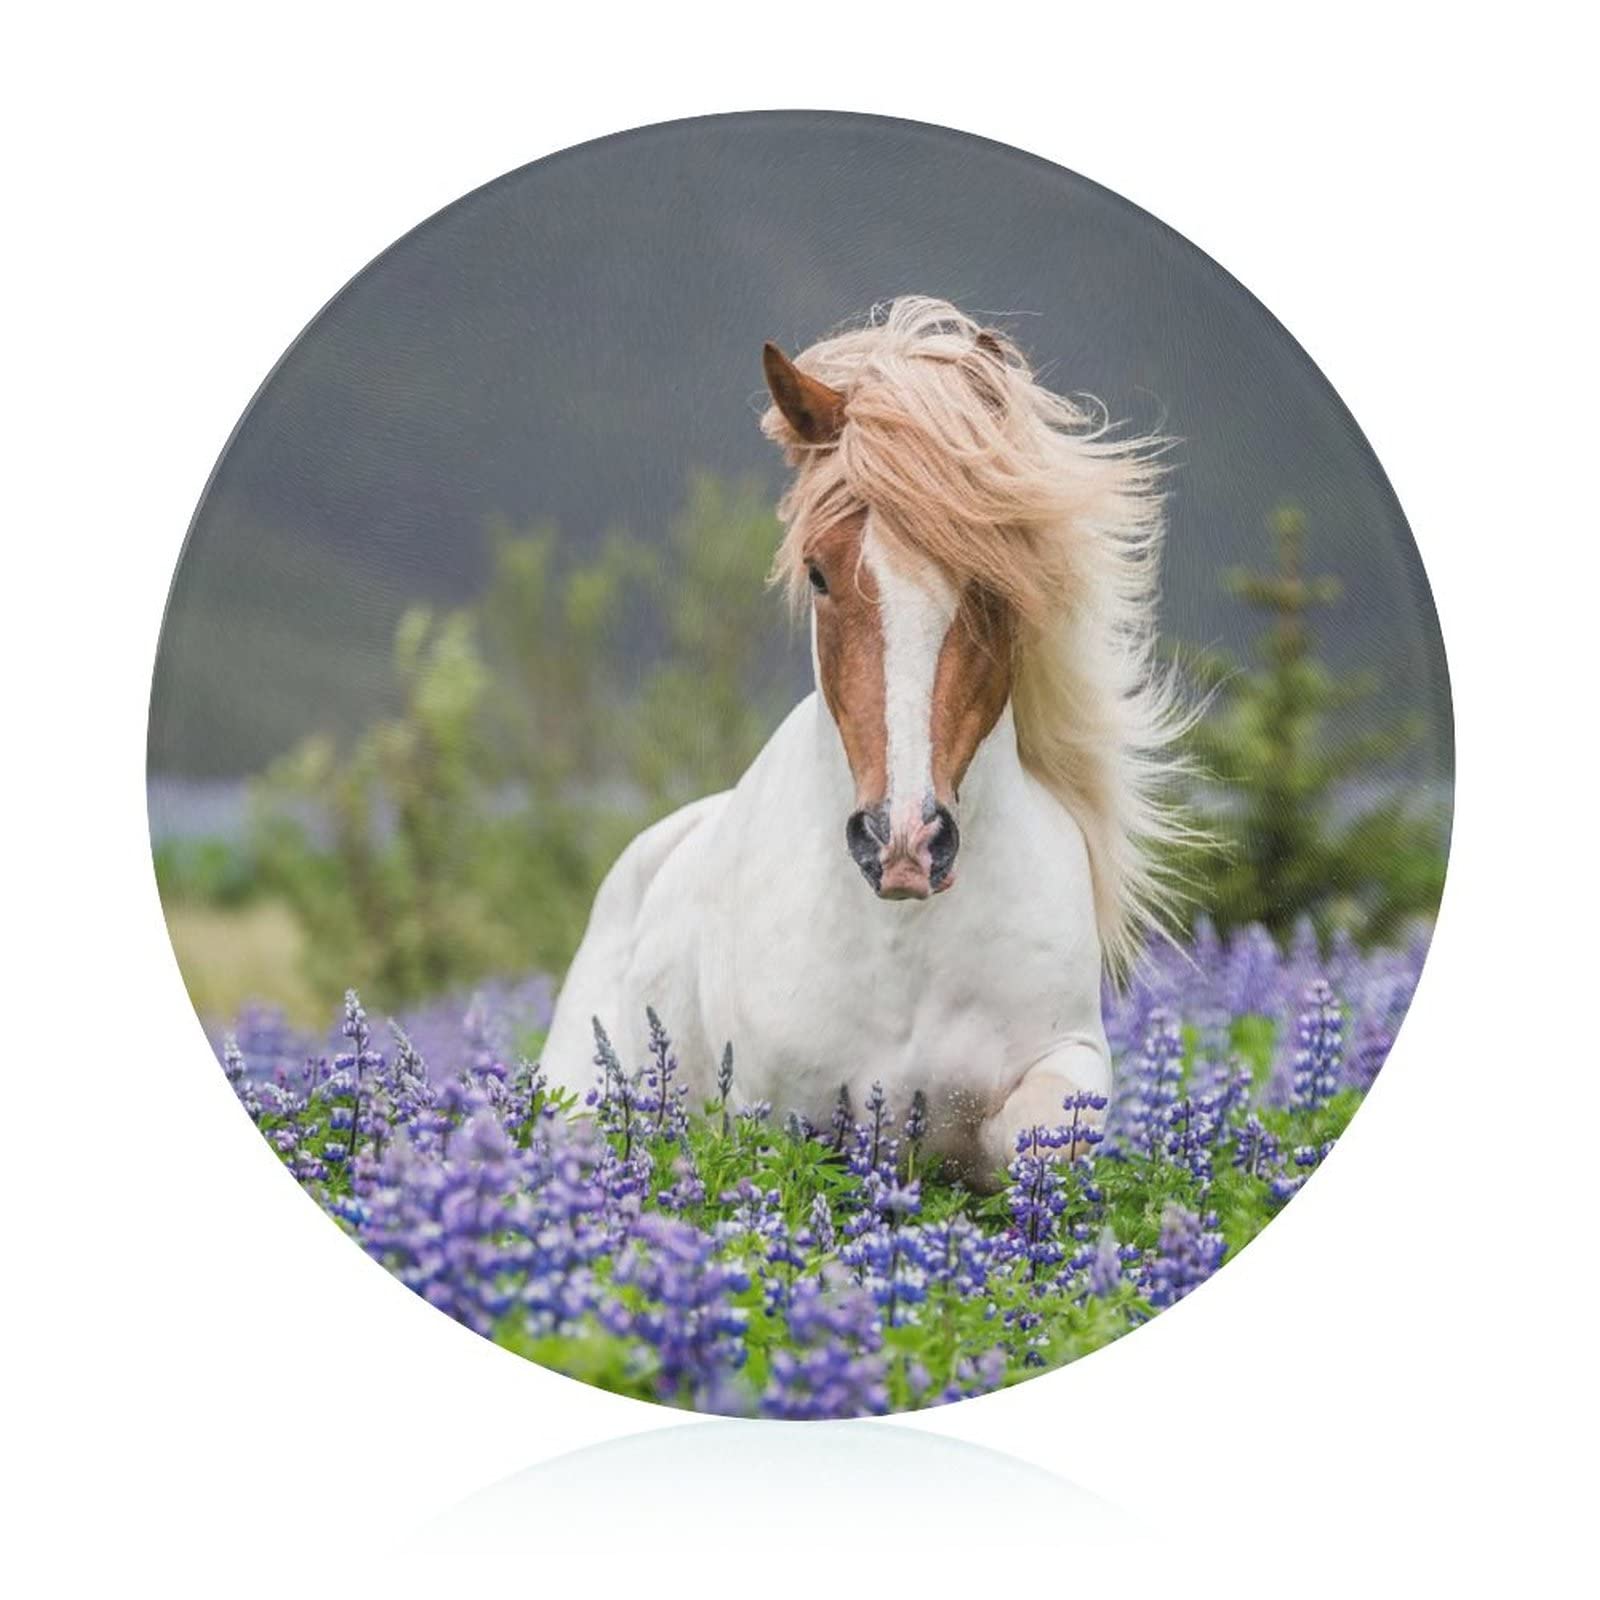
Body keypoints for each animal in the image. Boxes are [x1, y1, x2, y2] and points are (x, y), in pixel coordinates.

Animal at [541, 296, 1187, 1188]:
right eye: (818, 572)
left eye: (993, 581)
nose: (904, 842)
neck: (904, 943)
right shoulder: (780, 1116)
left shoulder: (1063, 1058)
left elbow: (1043, 1136)